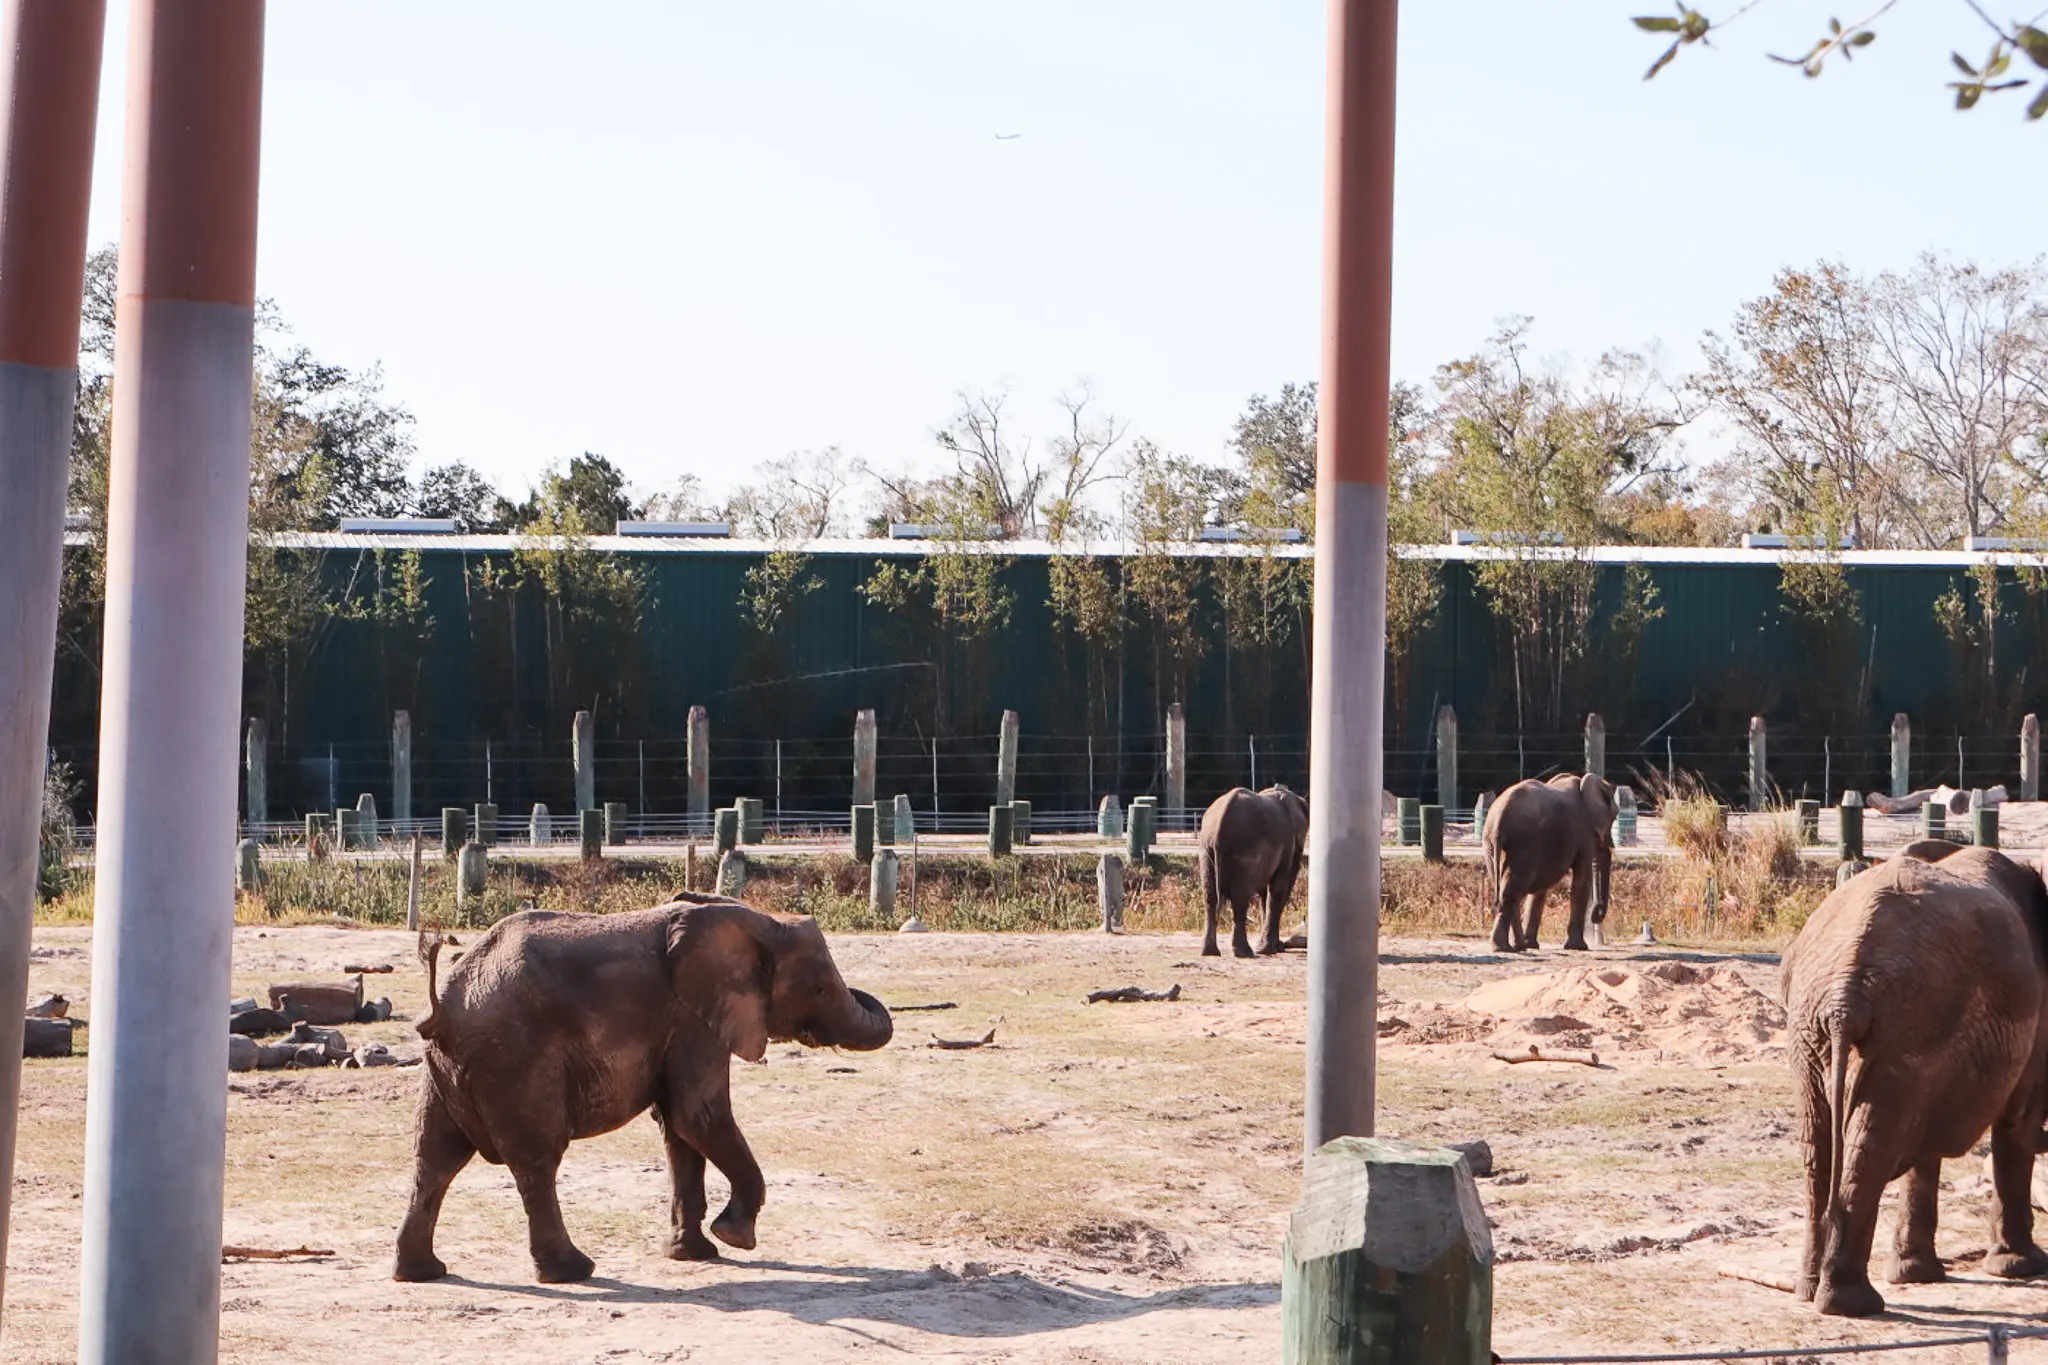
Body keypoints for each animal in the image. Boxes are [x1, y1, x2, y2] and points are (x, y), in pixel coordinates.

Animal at [392, 892, 894, 1284]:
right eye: (821, 989)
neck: (754, 919)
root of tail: (443, 1011)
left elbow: (678, 1127)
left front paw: (695, 1254)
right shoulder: (692, 1018)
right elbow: (699, 1115)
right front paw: (734, 1235)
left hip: (448, 1068)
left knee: (434, 1157)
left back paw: (422, 1273)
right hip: (518, 1061)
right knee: (536, 1160)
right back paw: (574, 1271)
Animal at [1196, 785, 1308, 958]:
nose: (1283, 945)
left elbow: (1265, 893)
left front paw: (1272, 948)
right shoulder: (1287, 844)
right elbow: (1277, 889)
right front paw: (1268, 950)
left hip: (1206, 850)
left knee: (1210, 897)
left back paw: (1209, 952)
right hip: (1245, 851)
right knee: (1240, 898)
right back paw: (1245, 953)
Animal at [1481, 773, 1617, 952]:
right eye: (1614, 817)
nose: (1596, 915)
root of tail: (1499, 820)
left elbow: (1541, 886)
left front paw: (1532, 945)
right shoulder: (1585, 833)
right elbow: (1581, 880)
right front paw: (1579, 947)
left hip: (1490, 844)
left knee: (1510, 888)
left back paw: (1518, 947)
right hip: (1524, 843)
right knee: (1513, 889)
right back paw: (1504, 948)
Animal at [1782, 842, 2048, 1317]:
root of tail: (1843, 998)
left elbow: (1924, 1144)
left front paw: (1915, 1274)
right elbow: (2016, 1127)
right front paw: (2023, 1268)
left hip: (1812, 1030)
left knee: (1821, 1150)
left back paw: (1810, 1292)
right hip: (1908, 1021)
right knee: (1870, 1148)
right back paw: (1852, 1304)